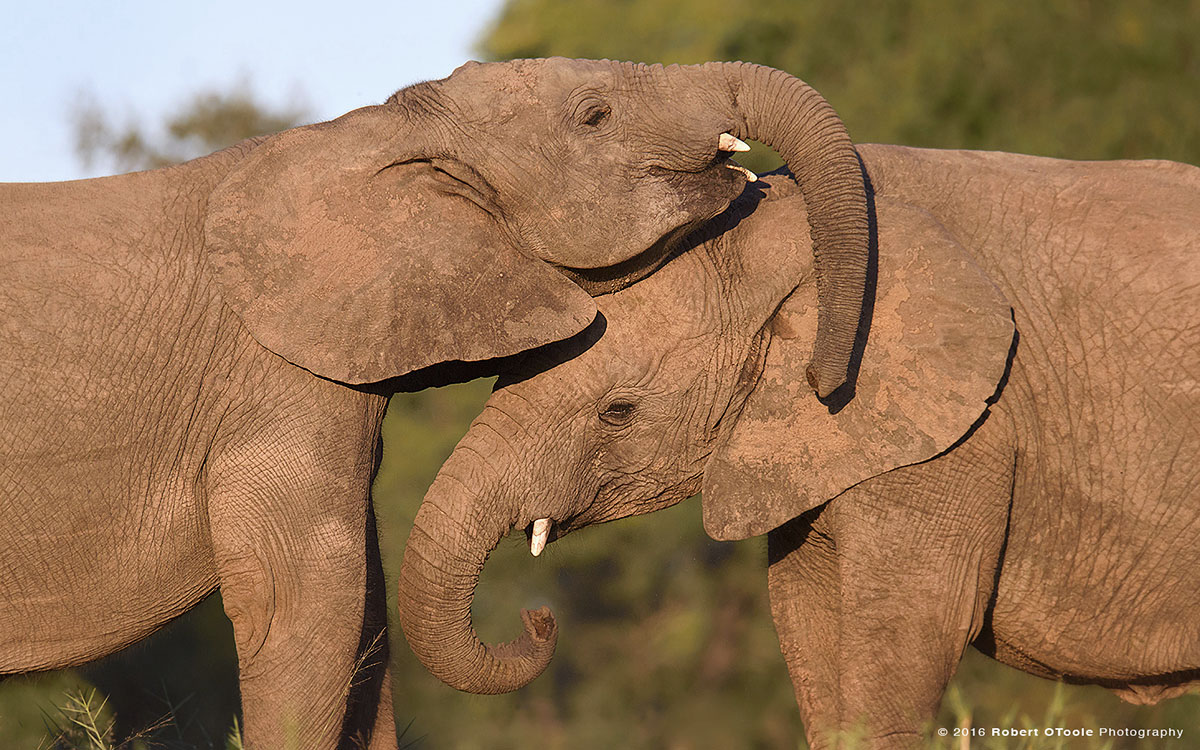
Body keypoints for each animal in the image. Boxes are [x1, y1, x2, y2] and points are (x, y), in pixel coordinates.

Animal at [0, 55, 873, 744]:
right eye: (595, 116)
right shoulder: (278, 377)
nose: (826, 380)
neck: (379, 131)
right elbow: (306, 602)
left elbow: (366, 626)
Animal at [396, 143, 1200, 744]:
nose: (538, 620)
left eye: (617, 414)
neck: (789, 235)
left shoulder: (964, 433)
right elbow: (808, 625)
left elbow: (911, 633)